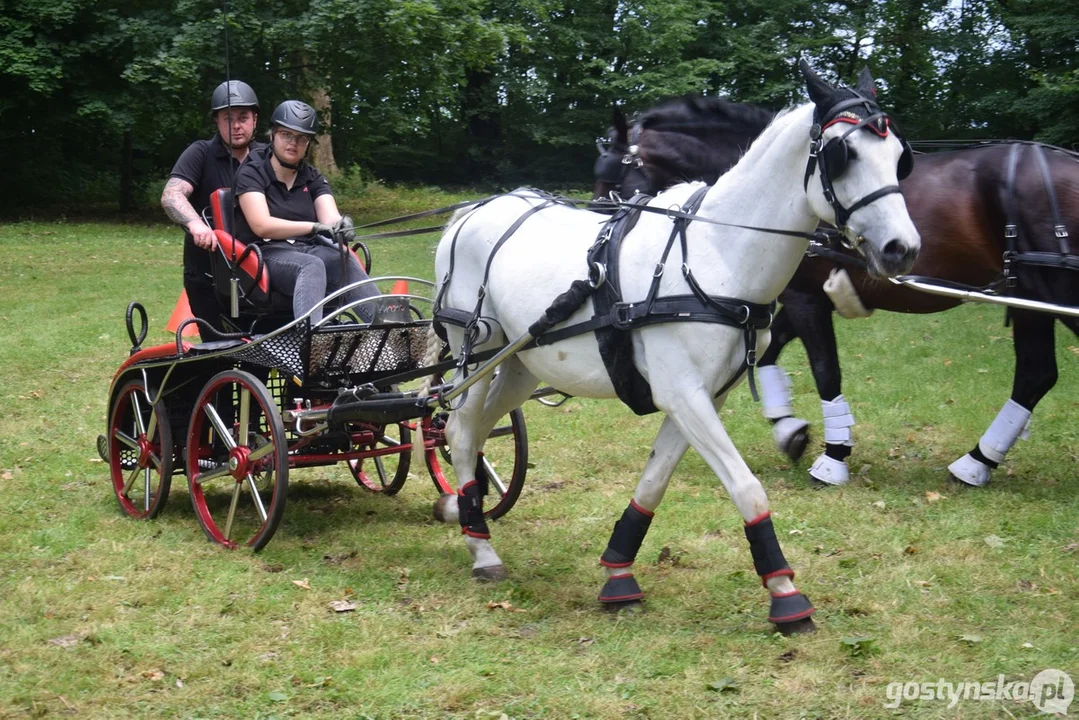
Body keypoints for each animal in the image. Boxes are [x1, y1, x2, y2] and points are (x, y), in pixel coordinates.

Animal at [422, 63, 919, 634]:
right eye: (845, 154)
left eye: (899, 156)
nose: (903, 249)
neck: (715, 255)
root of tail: (471, 211)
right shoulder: (683, 394)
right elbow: (746, 486)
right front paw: (785, 592)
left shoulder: (705, 397)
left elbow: (654, 483)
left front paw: (618, 573)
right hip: (475, 352)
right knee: (458, 432)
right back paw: (480, 547)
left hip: (521, 363)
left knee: (479, 429)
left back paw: (467, 509)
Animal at [595, 87, 1074, 487]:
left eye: (610, 177)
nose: (600, 237)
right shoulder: (798, 299)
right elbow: (771, 354)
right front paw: (789, 429)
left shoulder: (804, 300)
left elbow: (825, 370)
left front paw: (833, 456)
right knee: (1037, 374)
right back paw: (980, 460)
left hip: (1045, 294)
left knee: (1034, 373)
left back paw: (976, 462)